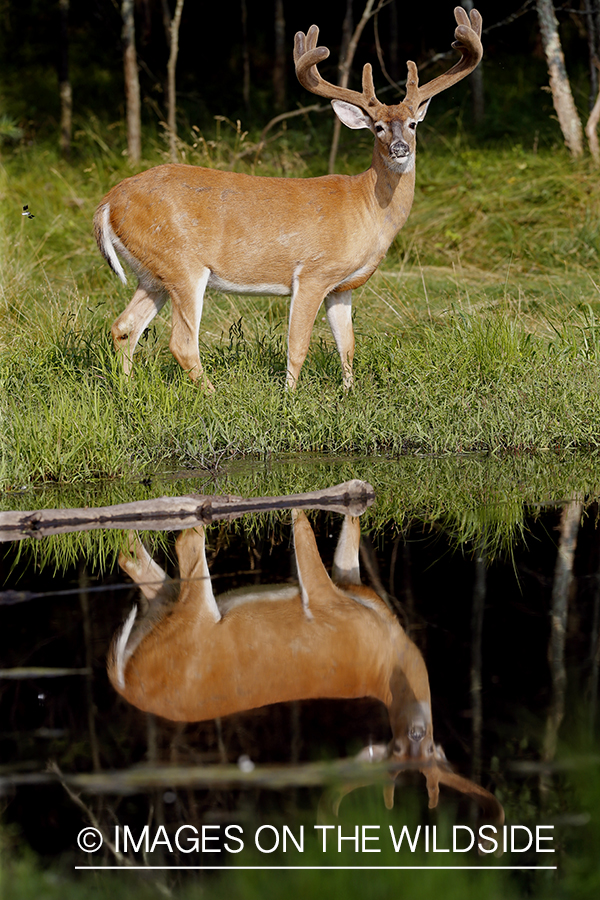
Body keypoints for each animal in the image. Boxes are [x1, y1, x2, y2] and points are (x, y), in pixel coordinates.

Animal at [96, 7, 486, 388]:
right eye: (377, 127)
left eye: (413, 124)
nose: (400, 148)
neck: (367, 206)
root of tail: (109, 201)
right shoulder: (314, 271)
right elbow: (298, 344)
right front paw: (290, 395)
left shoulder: (342, 286)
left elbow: (347, 344)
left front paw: (348, 392)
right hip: (181, 263)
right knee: (180, 341)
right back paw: (211, 395)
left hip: (153, 274)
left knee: (123, 327)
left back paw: (128, 390)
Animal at [108, 506, 502, 828]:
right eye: (403, 747)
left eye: (423, 747)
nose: (418, 731)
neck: (389, 653)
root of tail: (125, 683)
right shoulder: (330, 602)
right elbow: (307, 535)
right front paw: (301, 505)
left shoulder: (348, 582)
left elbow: (349, 536)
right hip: (192, 618)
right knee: (184, 540)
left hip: (167, 609)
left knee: (138, 563)